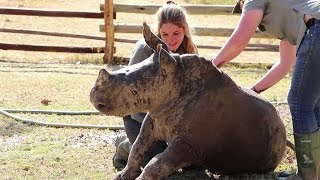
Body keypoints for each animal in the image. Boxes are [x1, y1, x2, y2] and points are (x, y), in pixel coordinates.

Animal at [90, 22, 288, 179]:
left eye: (134, 92)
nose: (94, 99)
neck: (177, 78)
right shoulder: (154, 117)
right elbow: (138, 148)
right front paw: (121, 176)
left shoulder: (188, 144)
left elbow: (156, 163)